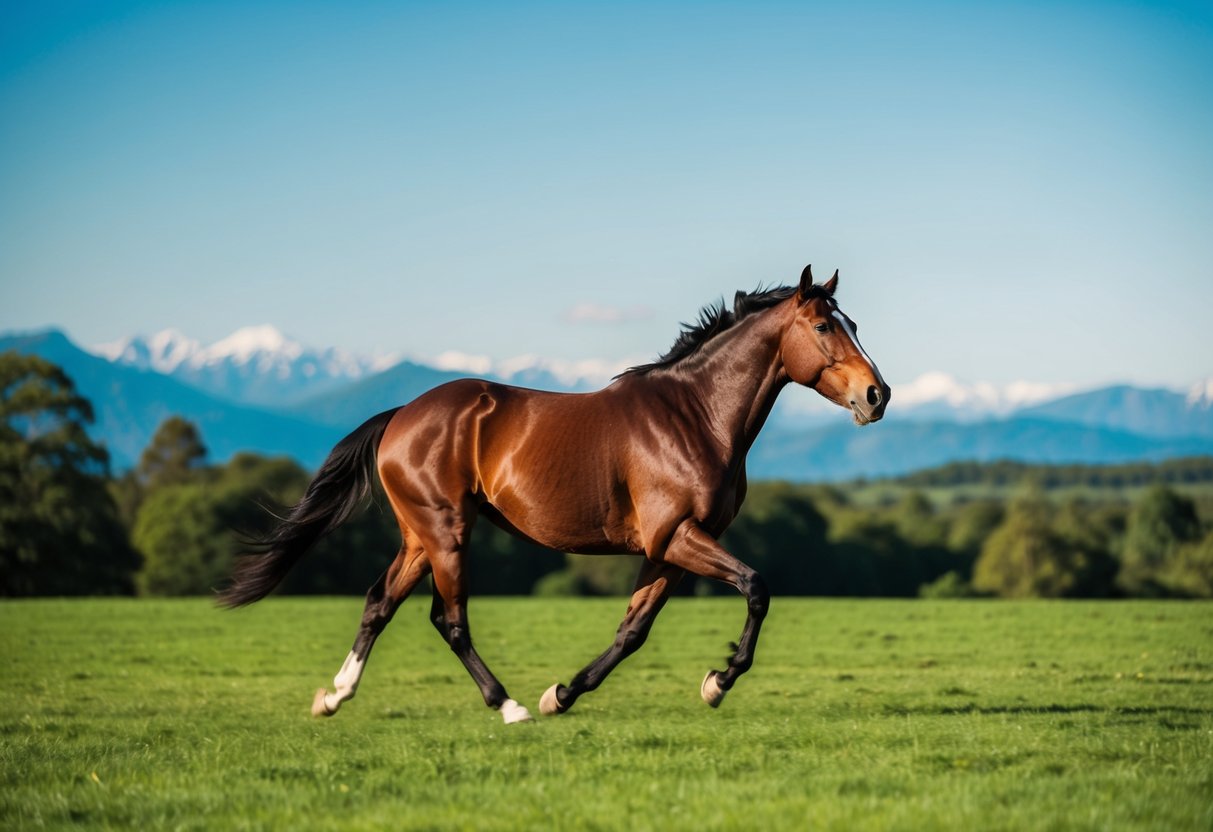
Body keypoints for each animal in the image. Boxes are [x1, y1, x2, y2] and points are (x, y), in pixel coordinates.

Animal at [220, 264, 890, 724]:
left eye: (855, 325)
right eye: (824, 325)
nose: (877, 395)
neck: (695, 416)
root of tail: (401, 416)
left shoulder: (669, 547)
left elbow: (633, 631)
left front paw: (563, 694)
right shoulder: (679, 537)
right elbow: (756, 587)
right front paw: (717, 683)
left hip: (418, 535)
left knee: (378, 604)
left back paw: (335, 697)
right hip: (446, 532)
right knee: (448, 619)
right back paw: (506, 706)